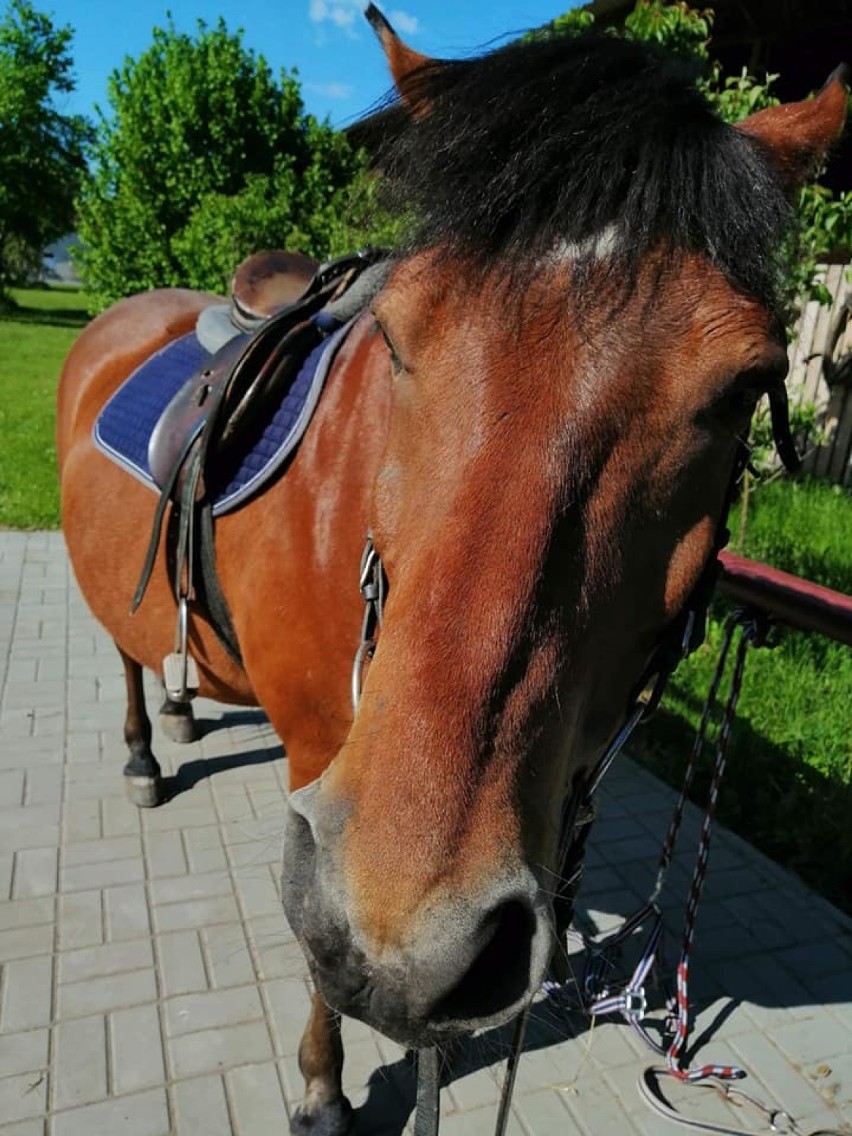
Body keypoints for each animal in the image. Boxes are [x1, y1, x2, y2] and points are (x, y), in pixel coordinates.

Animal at [58, 8, 849, 1136]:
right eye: (395, 334)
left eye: (746, 386)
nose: (413, 939)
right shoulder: (320, 770)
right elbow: (319, 954)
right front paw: (322, 1085)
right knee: (125, 654)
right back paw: (141, 749)